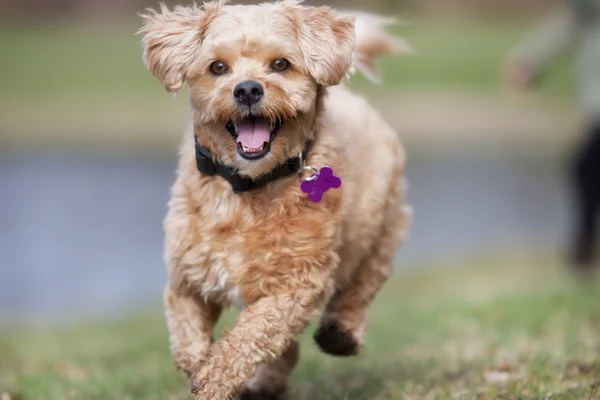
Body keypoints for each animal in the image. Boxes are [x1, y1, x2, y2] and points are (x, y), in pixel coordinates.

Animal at [141, 1, 412, 398]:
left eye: (281, 64)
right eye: (217, 67)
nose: (247, 89)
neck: (247, 186)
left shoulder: (297, 283)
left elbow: (250, 334)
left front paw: (214, 377)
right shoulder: (187, 279)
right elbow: (187, 337)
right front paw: (200, 368)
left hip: (382, 222)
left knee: (364, 281)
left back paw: (341, 332)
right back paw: (267, 382)